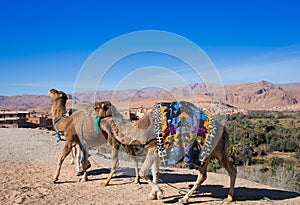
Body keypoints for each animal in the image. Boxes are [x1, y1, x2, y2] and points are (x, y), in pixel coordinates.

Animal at [94, 100, 237, 203]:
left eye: (97, 107)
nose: (92, 111)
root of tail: (223, 130)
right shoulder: (156, 151)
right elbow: (155, 172)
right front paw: (153, 195)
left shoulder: (153, 148)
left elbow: (143, 172)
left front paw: (160, 193)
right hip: (218, 151)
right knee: (230, 170)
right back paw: (228, 198)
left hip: (205, 152)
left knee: (204, 175)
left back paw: (184, 199)